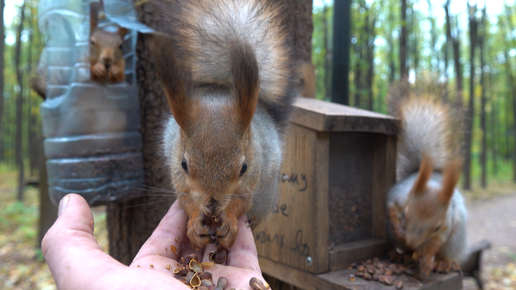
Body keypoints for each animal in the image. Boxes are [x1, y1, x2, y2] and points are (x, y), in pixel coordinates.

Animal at [147, 0, 296, 249]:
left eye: (243, 167)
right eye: (184, 164)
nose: (213, 206)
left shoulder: (253, 173)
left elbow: (241, 200)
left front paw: (230, 221)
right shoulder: (178, 174)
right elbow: (186, 198)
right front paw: (195, 223)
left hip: (266, 193)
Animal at [388, 81, 468, 278]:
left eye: (437, 227)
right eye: (405, 214)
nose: (411, 242)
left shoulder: (446, 224)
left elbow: (435, 243)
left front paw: (426, 261)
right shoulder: (395, 197)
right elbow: (391, 212)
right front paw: (400, 233)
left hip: (456, 240)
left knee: (446, 253)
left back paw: (444, 263)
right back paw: (402, 254)